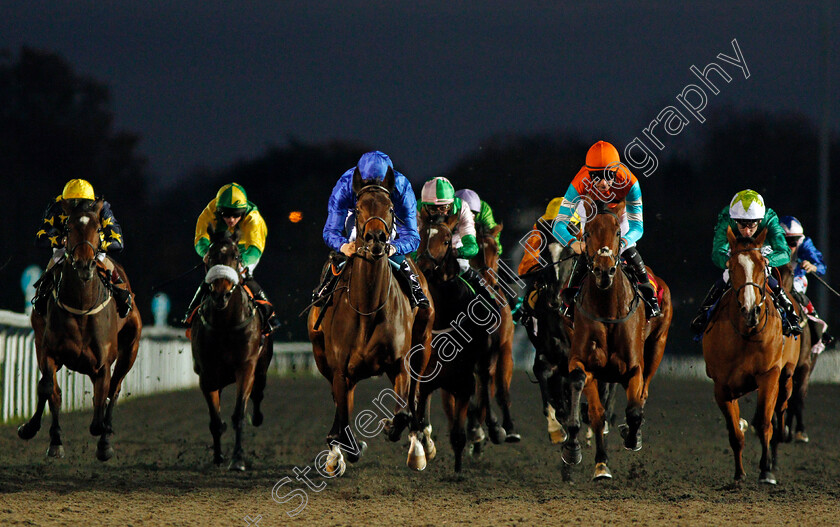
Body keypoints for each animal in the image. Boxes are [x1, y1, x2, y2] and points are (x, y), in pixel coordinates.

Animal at [18, 198, 142, 462]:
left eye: (98, 229)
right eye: (69, 228)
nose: (85, 265)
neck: (82, 306)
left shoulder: (103, 363)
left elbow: (101, 402)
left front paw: (104, 434)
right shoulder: (49, 351)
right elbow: (48, 389)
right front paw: (33, 430)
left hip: (131, 348)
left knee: (115, 389)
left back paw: (105, 440)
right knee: (54, 391)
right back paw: (54, 441)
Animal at [189, 227, 270, 470]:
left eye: (235, 255)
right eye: (210, 256)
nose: (220, 293)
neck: (225, 323)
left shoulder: (245, 368)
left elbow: (238, 415)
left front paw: (238, 459)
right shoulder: (207, 374)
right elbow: (215, 420)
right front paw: (218, 456)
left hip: (261, 367)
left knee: (258, 394)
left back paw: (257, 417)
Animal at [306, 169, 434, 478]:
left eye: (390, 208)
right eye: (359, 206)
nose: (376, 238)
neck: (367, 307)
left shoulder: (400, 363)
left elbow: (403, 411)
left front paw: (393, 430)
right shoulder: (340, 370)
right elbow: (342, 418)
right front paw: (341, 451)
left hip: (423, 348)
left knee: (415, 397)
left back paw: (418, 447)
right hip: (322, 358)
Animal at [560, 206, 672, 482]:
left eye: (618, 232)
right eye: (588, 233)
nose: (603, 270)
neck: (608, 311)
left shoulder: (634, 367)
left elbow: (634, 410)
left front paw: (632, 437)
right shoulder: (584, 362)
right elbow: (595, 412)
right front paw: (591, 459)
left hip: (658, 345)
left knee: (643, 394)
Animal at [704, 229, 796, 484]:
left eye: (762, 264)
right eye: (732, 265)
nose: (750, 310)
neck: (746, 333)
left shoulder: (769, 375)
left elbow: (765, 423)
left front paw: (766, 470)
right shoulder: (722, 386)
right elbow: (735, 432)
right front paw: (739, 474)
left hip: (786, 377)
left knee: (780, 410)